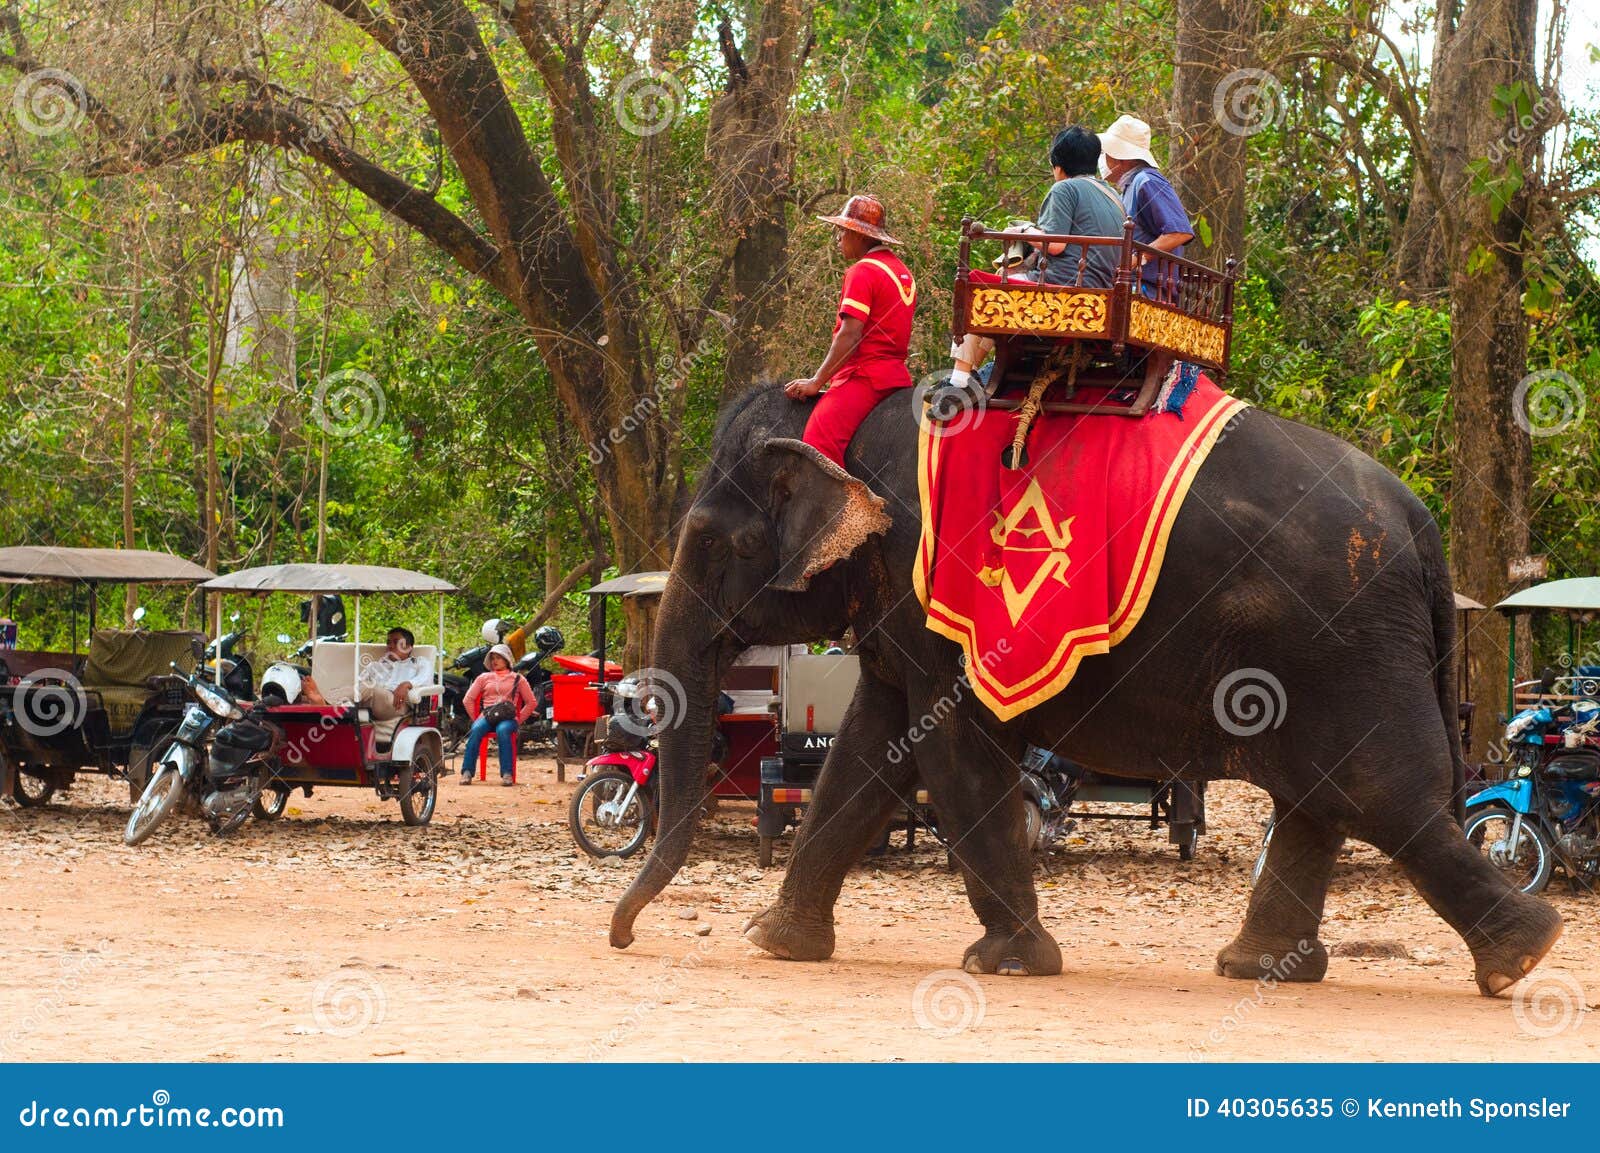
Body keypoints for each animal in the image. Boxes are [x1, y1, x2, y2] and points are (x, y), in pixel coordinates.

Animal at [608, 382, 1563, 997]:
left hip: (1341, 643)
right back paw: (1260, 969)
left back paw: (1522, 955)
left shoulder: (938, 591)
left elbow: (950, 747)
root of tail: (1421, 521)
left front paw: (1005, 961)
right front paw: (774, 943)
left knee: (1376, 794)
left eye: (713, 542)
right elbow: (870, 750)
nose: (622, 937)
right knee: (1320, 796)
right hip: (1327, 654)